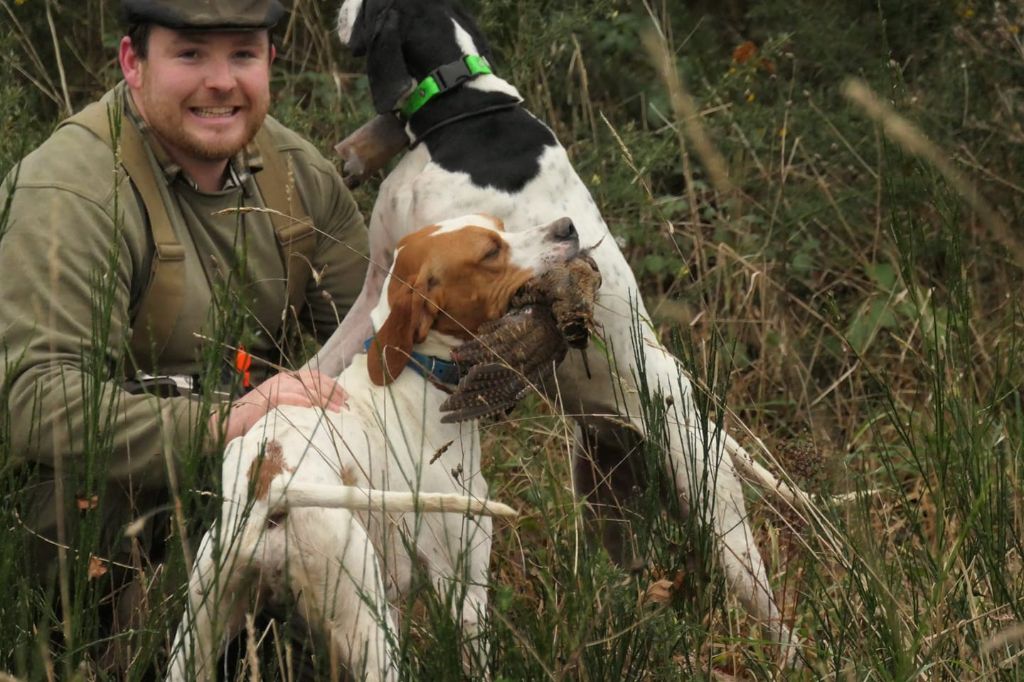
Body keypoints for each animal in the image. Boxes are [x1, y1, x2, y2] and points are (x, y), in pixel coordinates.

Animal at [172, 215, 581, 679]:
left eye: (499, 224)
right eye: (491, 251)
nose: (567, 226)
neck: (414, 374)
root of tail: (269, 485)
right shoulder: (463, 586)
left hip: (195, 639)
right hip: (370, 633)